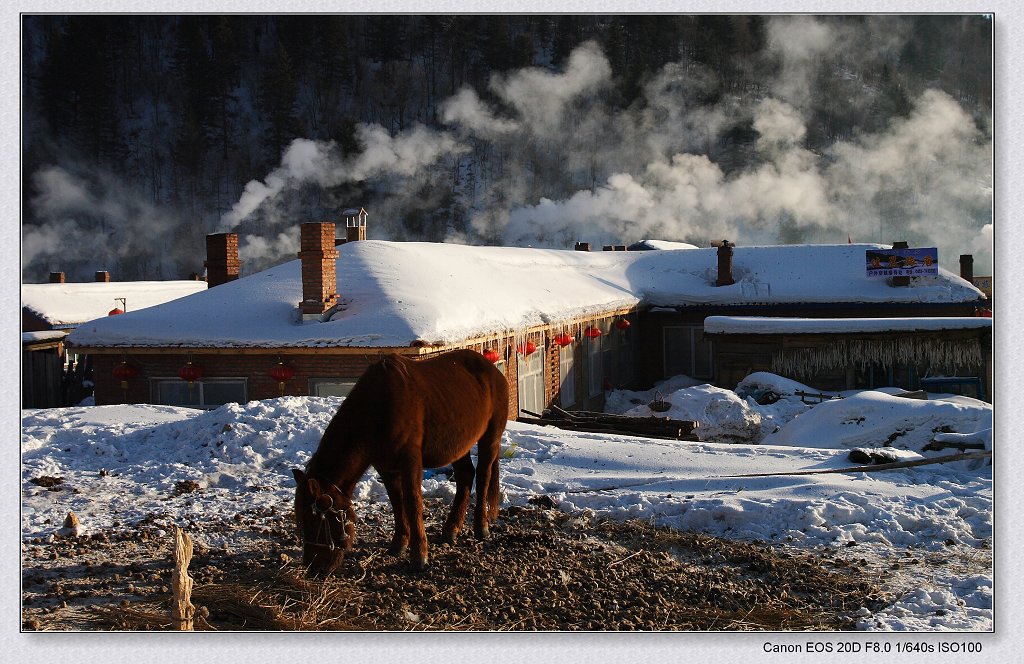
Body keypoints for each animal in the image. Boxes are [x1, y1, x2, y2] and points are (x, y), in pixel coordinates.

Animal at [292, 350, 507, 573]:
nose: (313, 568)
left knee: (483, 476)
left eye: (317, 520)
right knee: (465, 475)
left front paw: (419, 554)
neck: (378, 409)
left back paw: (481, 527)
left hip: (490, 437)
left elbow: (413, 503)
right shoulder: (385, 467)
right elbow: (397, 502)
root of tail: (491, 369)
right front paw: (399, 543)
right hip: (457, 445)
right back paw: (451, 529)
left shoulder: (410, 461)